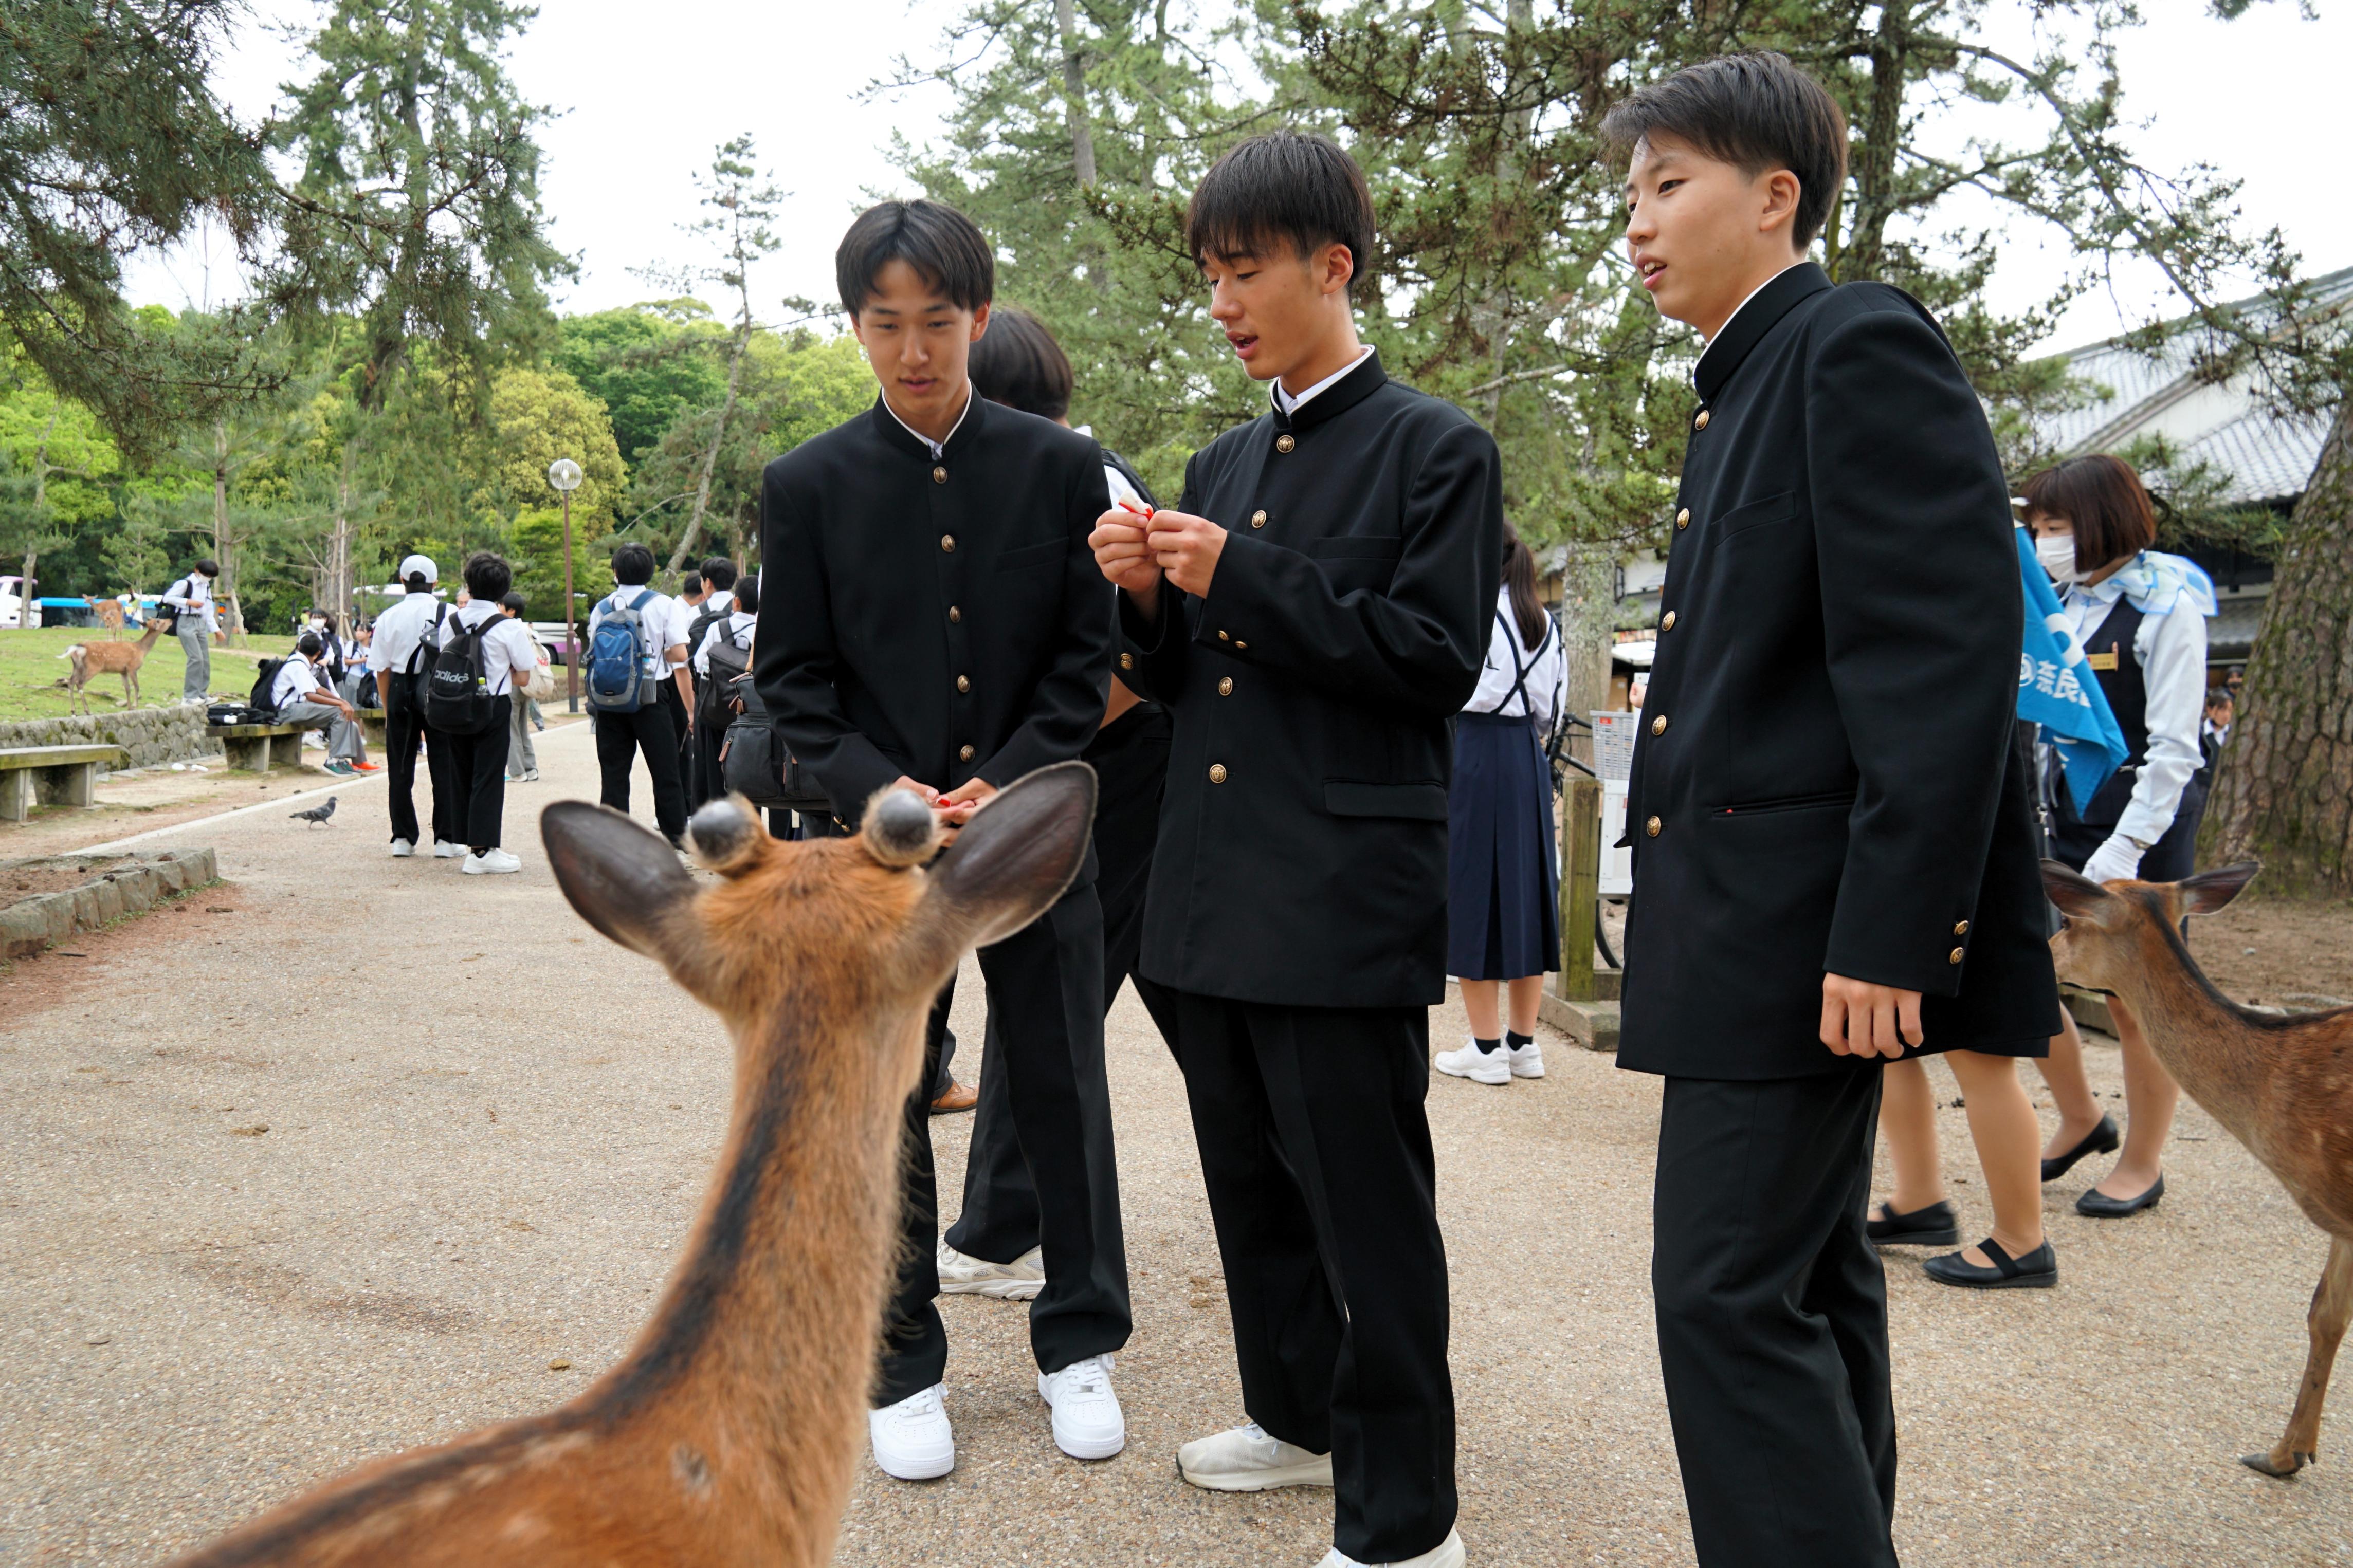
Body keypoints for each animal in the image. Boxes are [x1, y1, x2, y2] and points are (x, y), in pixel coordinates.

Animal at [61, 617, 166, 712]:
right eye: (159, 621)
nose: (170, 620)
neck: (142, 650)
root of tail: (78, 648)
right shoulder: (132, 668)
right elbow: (137, 686)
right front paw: (135, 706)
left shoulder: (123, 671)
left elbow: (128, 688)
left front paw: (130, 708)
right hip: (93, 667)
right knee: (80, 683)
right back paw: (87, 711)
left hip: (77, 666)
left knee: (71, 681)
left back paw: (73, 711)